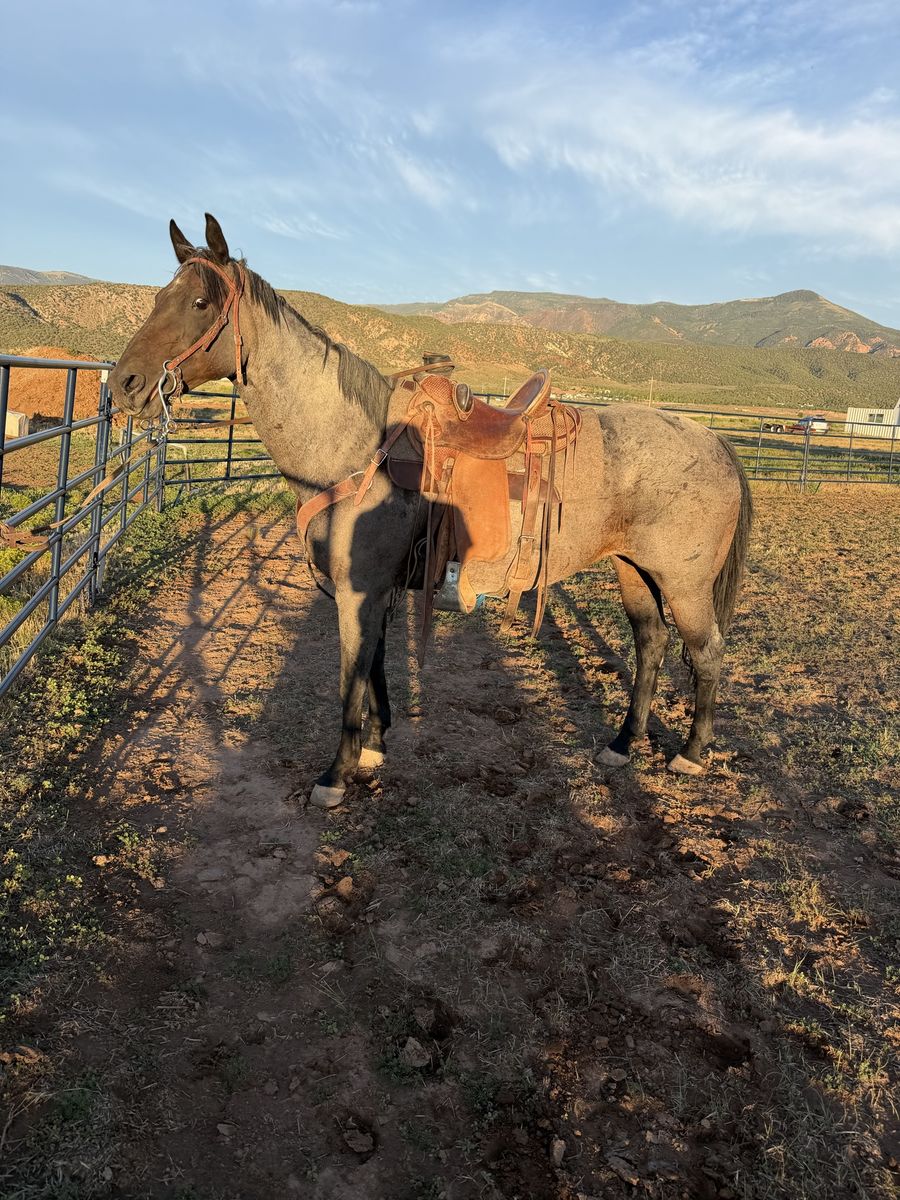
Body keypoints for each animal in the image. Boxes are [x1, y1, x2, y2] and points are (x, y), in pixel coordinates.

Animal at [108, 214, 752, 808]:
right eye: (158, 297)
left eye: (198, 303)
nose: (124, 384)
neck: (356, 447)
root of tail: (715, 442)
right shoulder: (374, 590)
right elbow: (373, 666)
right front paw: (374, 746)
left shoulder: (358, 590)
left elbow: (350, 677)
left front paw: (335, 775)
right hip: (633, 569)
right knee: (652, 644)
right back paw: (622, 745)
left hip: (685, 582)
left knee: (707, 652)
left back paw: (691, 754)